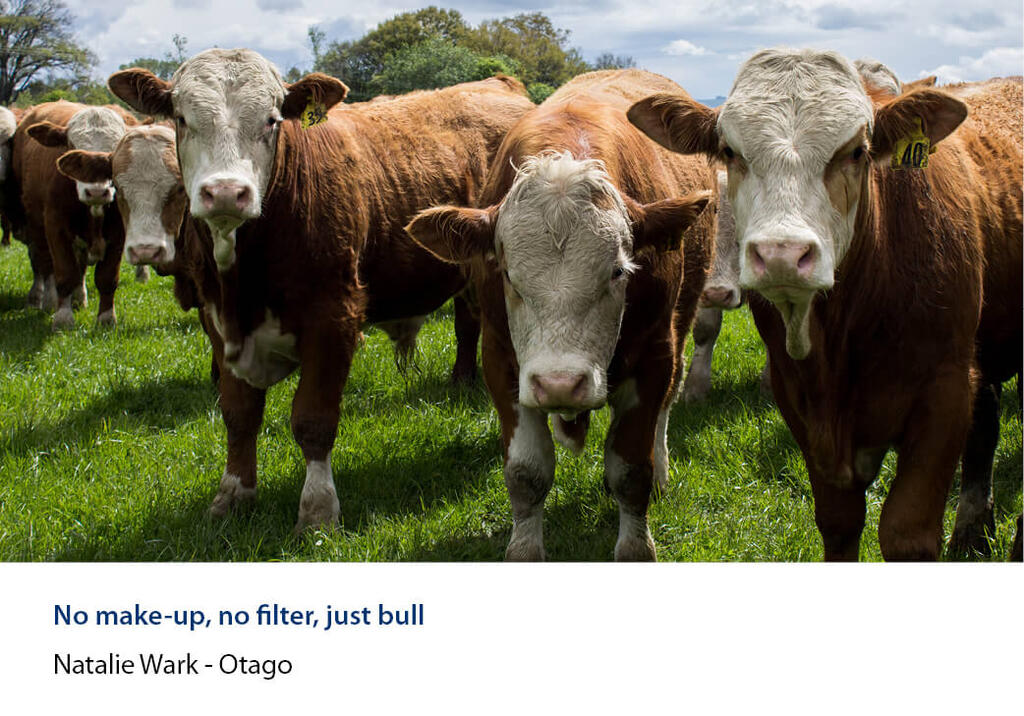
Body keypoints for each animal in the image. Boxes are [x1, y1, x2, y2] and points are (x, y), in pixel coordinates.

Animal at [10, 101, 135, 327]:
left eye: (115, 151)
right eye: (72, 146)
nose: (96, 191)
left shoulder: (119, 233)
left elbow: (107, 277)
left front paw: (106, 319)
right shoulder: (55, 227)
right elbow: (65, 273)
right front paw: (63, 318)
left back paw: (79, 298)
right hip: (37, 228)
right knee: (45, 265)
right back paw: (48, 301)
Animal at [107, 48, 534, 529]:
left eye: (272, 120)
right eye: (181, 118)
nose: (226, 192)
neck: (243, 282)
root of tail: (498, 84)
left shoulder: (334, 320)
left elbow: (313, 419)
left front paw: (317, 510)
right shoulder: (217, 322)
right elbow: (238, 414)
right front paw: (233, 493)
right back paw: (461, 380)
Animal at [406, 69, 714, 561]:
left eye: (617, 272)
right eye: (509, 276)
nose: (559, 384)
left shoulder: (655, 353)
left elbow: (632, 469)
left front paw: (635, 546)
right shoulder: (500, 360)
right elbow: (526, 473)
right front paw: (525, 549)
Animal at [629, 49, 1021, 561]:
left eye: (857, 151)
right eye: (730, 151)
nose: (781, 253)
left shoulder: (947, 391)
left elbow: (906, 531)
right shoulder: (800, 402)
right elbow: (838, 523)